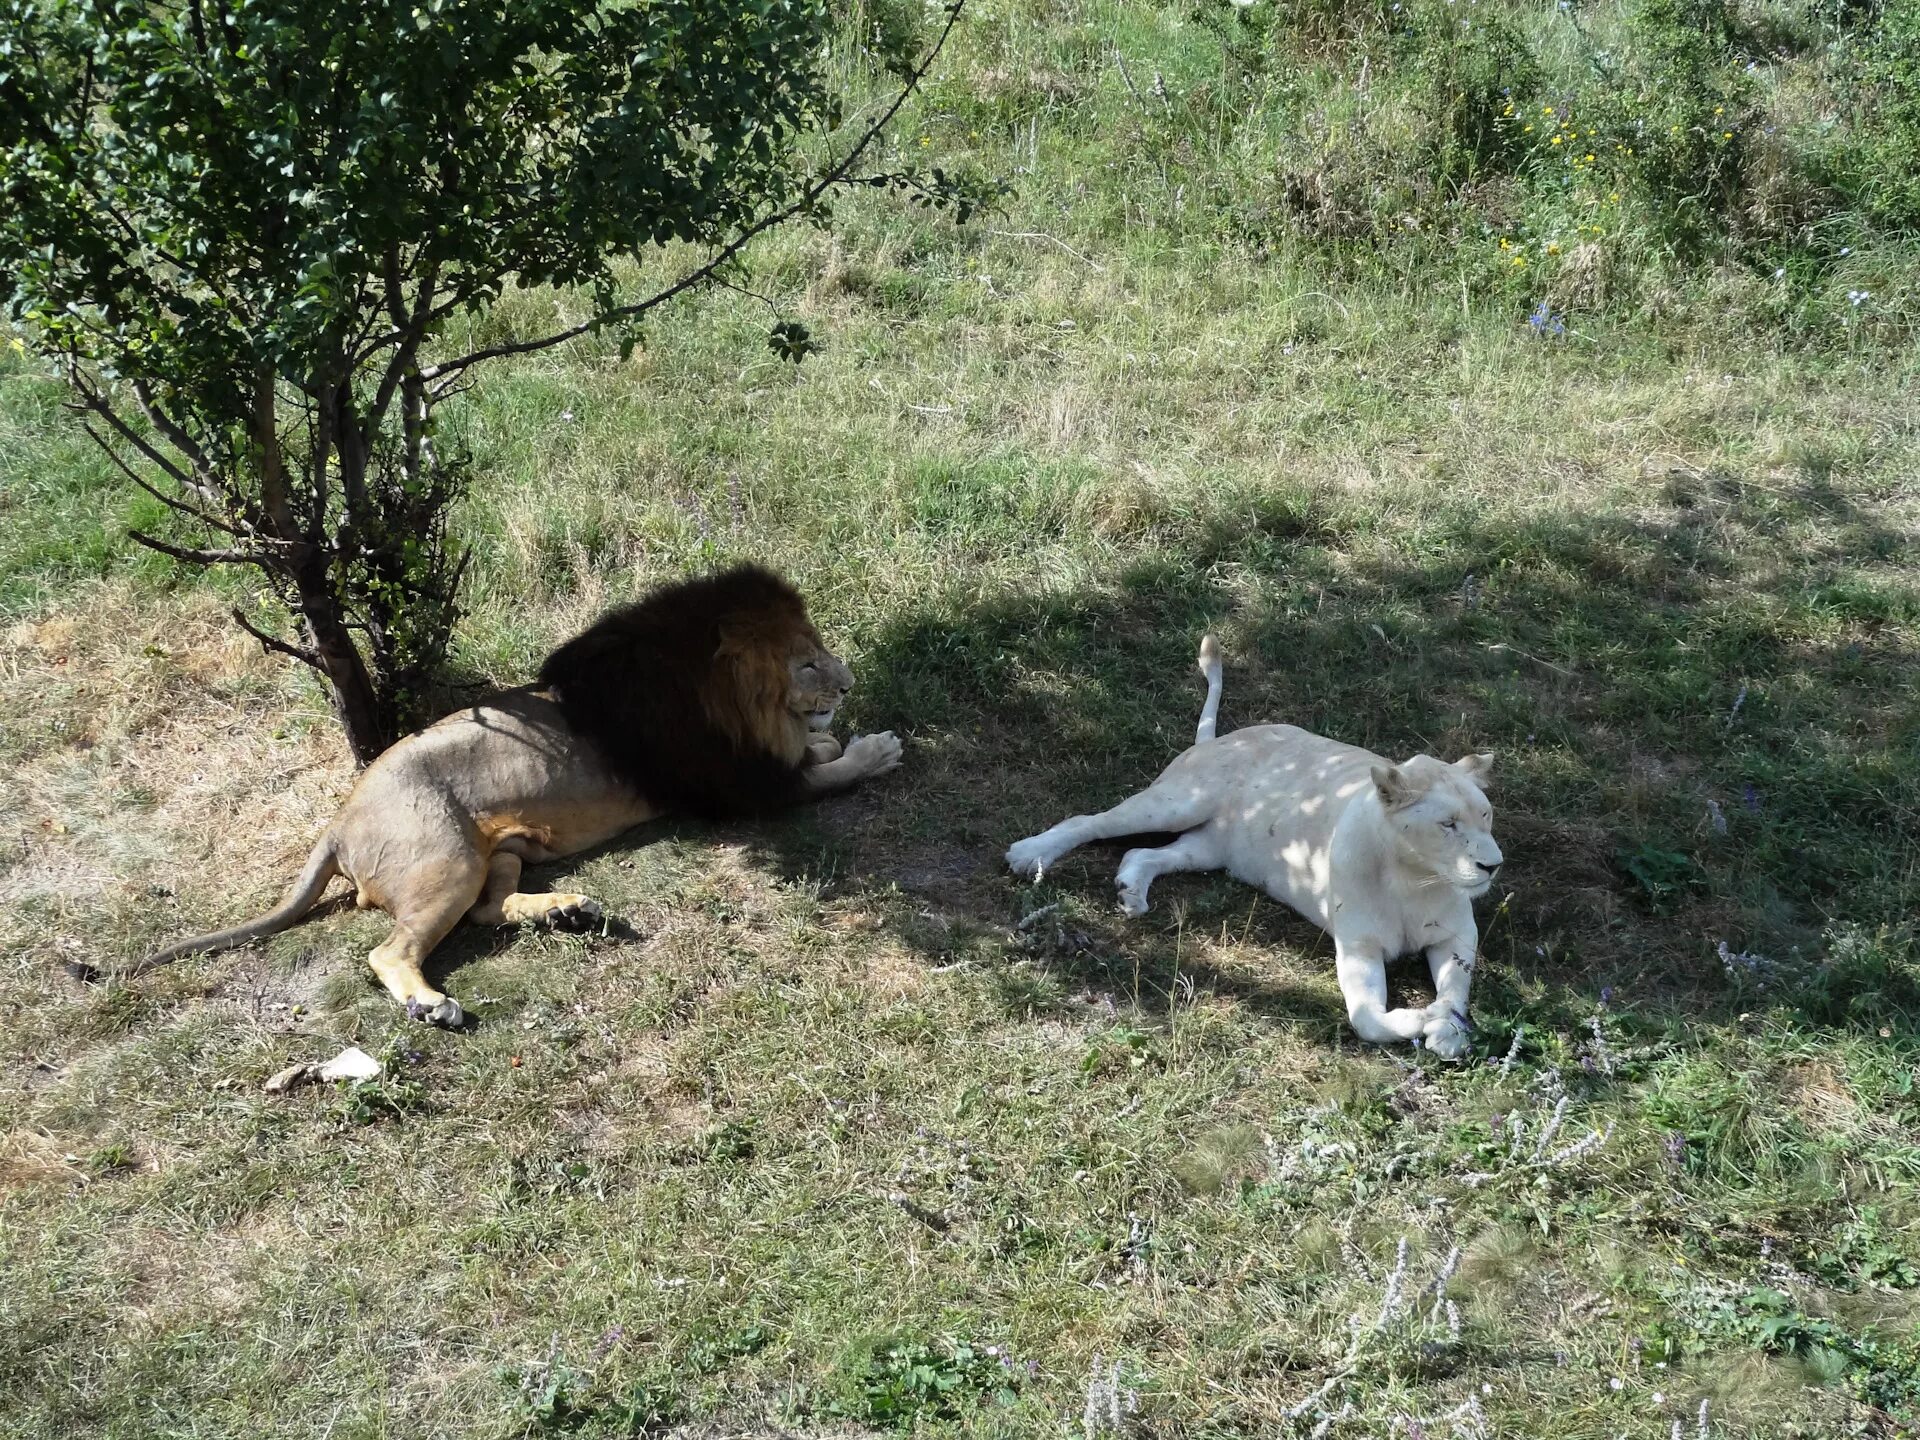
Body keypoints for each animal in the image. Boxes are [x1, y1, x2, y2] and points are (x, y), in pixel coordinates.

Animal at [120, 564, 898, 1029]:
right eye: (808, 664)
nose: (850, 683)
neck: (719, 694)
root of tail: (338, 823)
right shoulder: (734, 788)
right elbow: (821, 774)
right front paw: (873, 750)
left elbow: (813, 752)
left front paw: (834, 741)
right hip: (443, 861)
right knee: (388, 951)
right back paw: (432, 1004)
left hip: (495, 851)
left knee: (489, 911)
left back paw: (566, 912)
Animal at [1006, 641, 1497, 1059]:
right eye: (1448, 824)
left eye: (1486, 816)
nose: (1493, 865)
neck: (1414, 877)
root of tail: (1220, 738)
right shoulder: (1358, 946)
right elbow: (1367, 1019)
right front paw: (1427, 1018)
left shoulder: (1457, 935)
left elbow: (1456, 987)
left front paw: (1450, 1029)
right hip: (1178, 802)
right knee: (1089, 822)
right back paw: (1030, 854)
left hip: (1209, 847)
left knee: (1142, 855)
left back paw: (1131, 891)